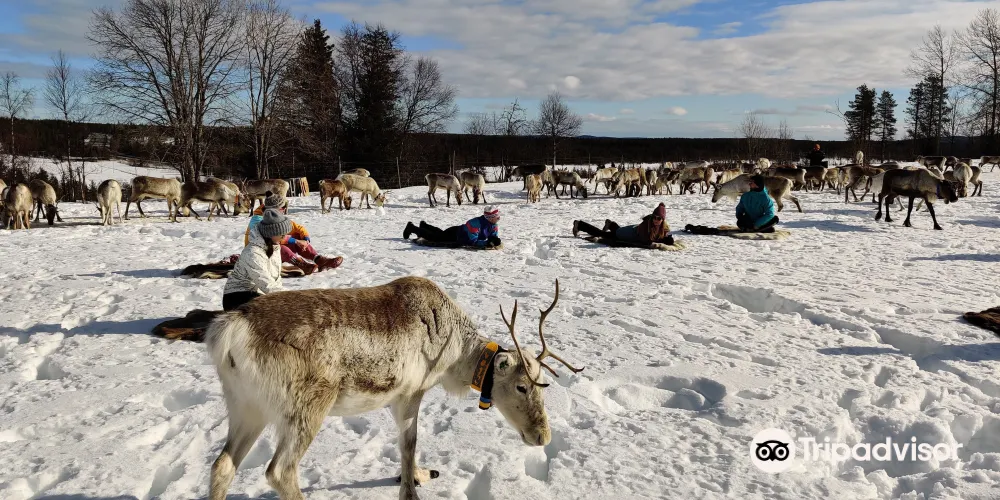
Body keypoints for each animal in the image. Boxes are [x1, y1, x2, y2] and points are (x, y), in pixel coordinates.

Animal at [205, 278, 582, 500]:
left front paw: (419, 475)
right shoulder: (411, 391)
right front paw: (411, 490)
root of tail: (229, 330)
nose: (542, 436)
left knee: (222, 466)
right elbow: (409, 443)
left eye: (542, 387)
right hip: (306, 406)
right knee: (279, 471)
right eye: (521, 387)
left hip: (246, 407)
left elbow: (406, 446)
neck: (454, 355)